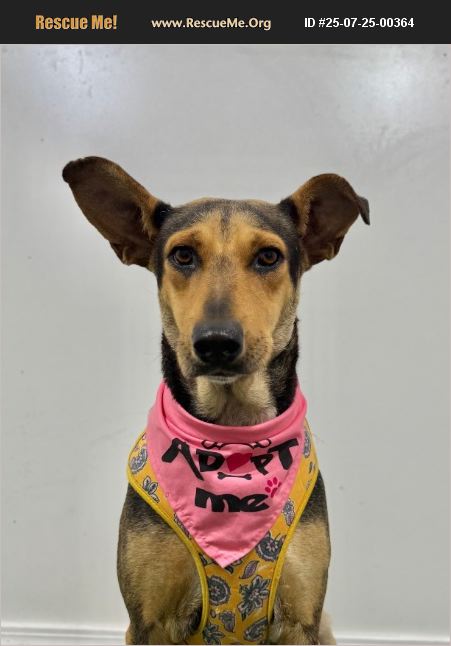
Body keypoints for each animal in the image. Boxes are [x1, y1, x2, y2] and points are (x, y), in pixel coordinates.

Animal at [63, 157, 369, 645]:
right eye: (183, 255)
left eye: (269, 257)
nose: (217, 343)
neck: (233, 432)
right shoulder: (150, 621)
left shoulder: (301, 618)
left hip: (324, 626)